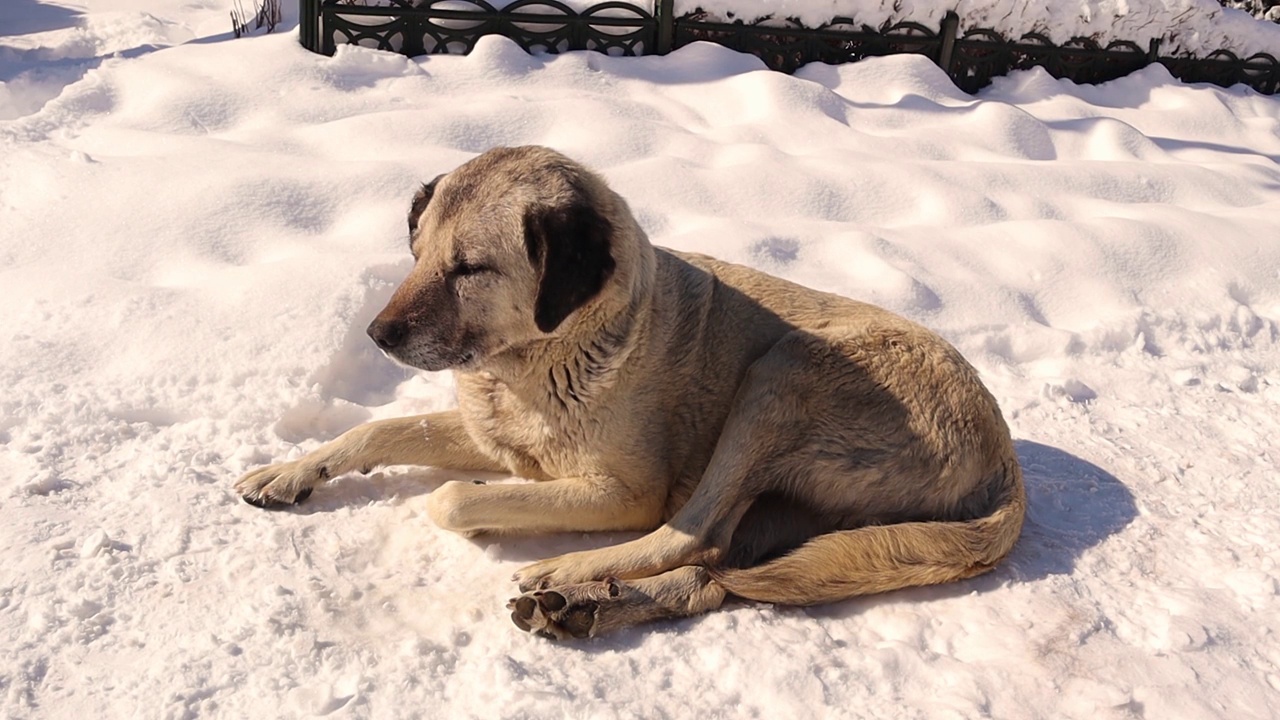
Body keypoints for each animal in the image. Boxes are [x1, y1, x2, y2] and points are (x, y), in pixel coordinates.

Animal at [235, 142, 1024, 635]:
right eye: (417, 252)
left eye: (470, 269)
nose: (376, 334)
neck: (550, 352)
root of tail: (1004, 453)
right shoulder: (497, 439)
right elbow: (376, 429)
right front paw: (290, 472)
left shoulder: (622, 490)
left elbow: (451, 499)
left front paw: (492, 512)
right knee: (714, 570)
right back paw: (588, 609)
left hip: (785, 373)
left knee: (693, 533)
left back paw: (568, 572)